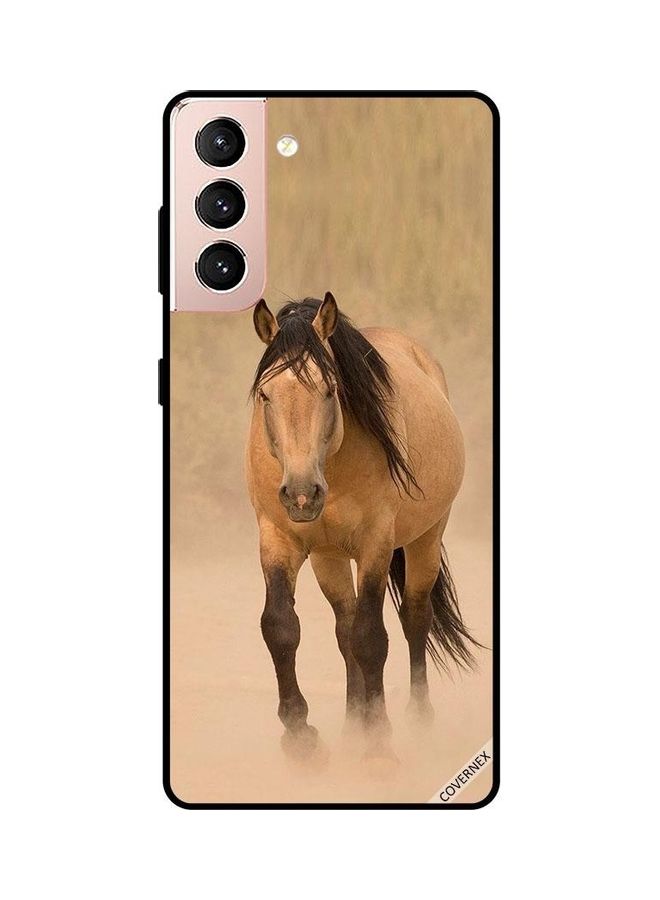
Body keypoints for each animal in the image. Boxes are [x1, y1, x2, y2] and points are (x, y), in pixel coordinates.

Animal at [246, 292, 477, 762]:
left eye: (330, 389)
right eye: (265, 394)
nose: (301, 494)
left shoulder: (376, 545)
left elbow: (372, 637)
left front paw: (379, 742)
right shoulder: (278, 539)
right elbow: (281, 627)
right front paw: (300, 735)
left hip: (426, 538)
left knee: (414, 618)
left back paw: (417, 722)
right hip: (328, 558)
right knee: (343, 627)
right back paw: (352, 724)